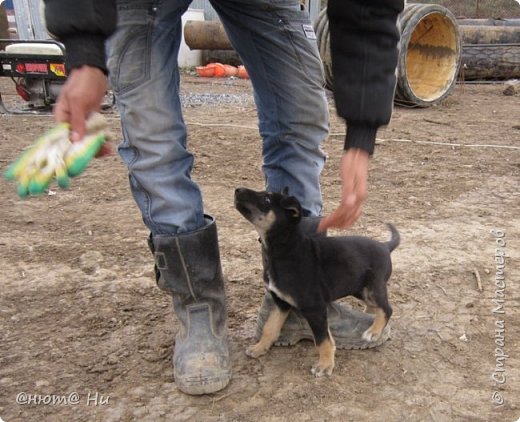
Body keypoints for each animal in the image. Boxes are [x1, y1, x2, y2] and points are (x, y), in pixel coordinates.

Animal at [234, 187, 400, 376]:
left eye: (266, 199)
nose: (237, 189)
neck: (284, 250)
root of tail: (385, 246)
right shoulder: (281, 302)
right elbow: (270, 327)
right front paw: (259, 347)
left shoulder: (314, 307)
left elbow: (322, 339)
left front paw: (325, 365)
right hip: (359, 288)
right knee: (377, 307)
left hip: (371, 288)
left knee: (387, 309)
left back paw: (373, 332)